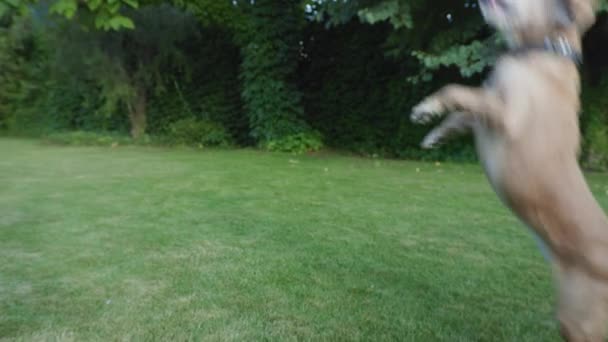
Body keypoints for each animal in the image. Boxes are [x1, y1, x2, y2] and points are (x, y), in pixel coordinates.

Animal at [408, 0, 608, 340]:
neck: (543, 51)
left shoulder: (507, 113)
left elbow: (458, 91)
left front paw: (426, 108)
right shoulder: (486, 112)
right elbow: (462, 114)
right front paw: (435, 134)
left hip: (578, 318)